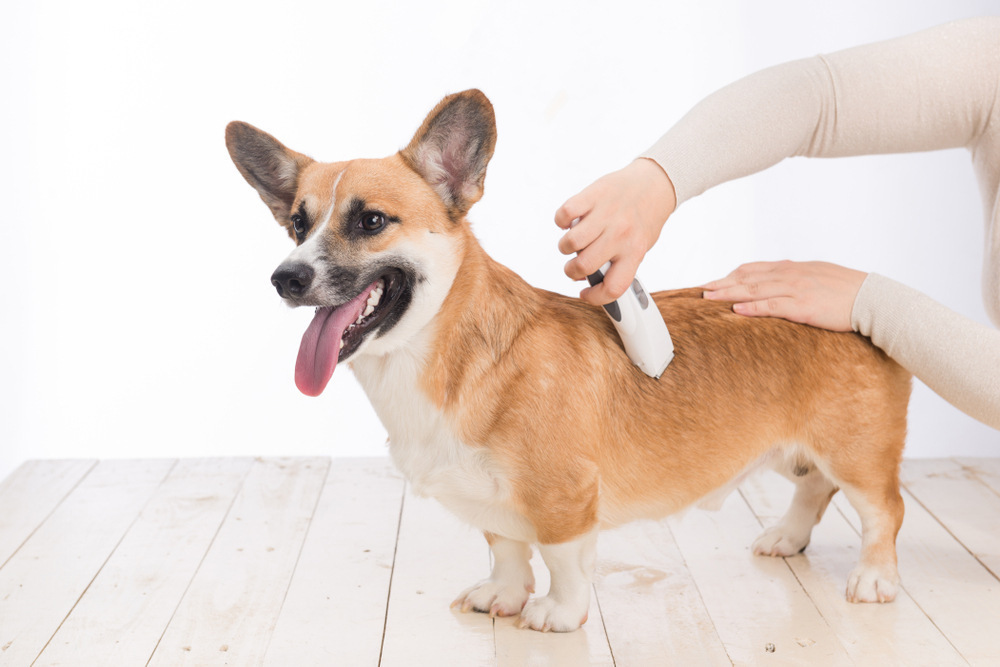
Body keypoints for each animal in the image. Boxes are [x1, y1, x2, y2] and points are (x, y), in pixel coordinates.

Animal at [227, 88, 916, 632]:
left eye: (371, 221)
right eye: (296, 225)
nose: (284, 279)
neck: (442, 356)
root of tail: (852, 306)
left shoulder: (564, 499)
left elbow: (561, 560)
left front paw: (558, 614)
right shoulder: (496, 507)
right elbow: (507, 548)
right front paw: (502, 597)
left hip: (857, 454)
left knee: (883, 511)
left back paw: (874, 579)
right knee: (815, 488)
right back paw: (787, 537)